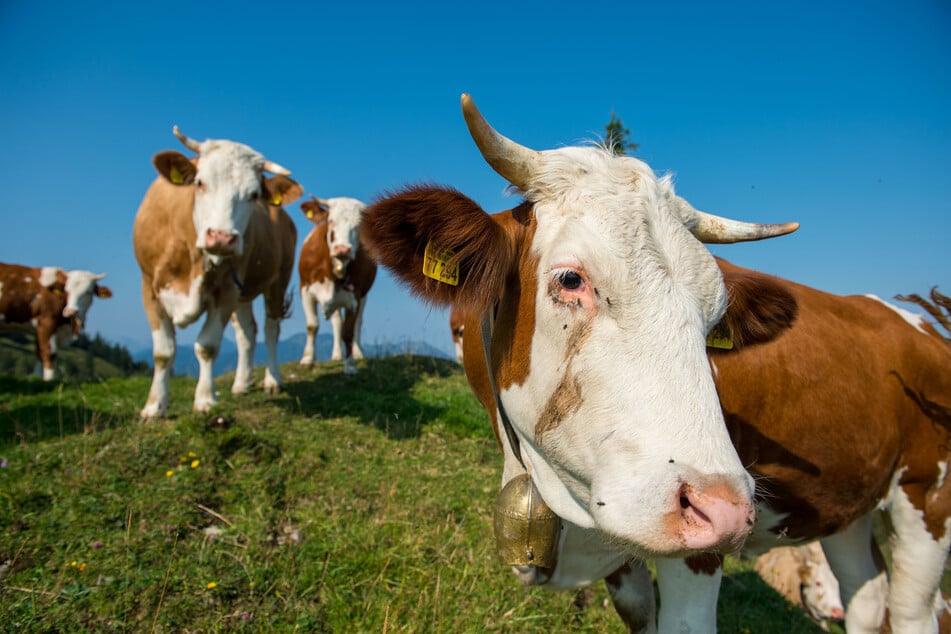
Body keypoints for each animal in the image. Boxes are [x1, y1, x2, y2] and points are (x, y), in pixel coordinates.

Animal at [134, 126, 302, 418]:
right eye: (200, 182)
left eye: (254, 194)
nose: (223, 238)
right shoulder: (149, 287)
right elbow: (163, 351)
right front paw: (155, 406)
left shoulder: (226, 291)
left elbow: (207, 346)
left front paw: (204, 400)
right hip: (244, 292)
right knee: (247, 333)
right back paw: (241, 383)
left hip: (277, 280)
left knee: (270, 329)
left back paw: (272, 380)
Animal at [300, 193, 378, 370]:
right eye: (330, 221)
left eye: (359, 226)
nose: (343, 249)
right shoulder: (305, 290)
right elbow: (312, 325)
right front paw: (307, 359)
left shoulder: (354, 297)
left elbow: (348, 331)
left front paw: (350, 364)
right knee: (337, 322)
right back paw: (336, 355)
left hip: (363, 295)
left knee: (357, 323)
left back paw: (358, 353)